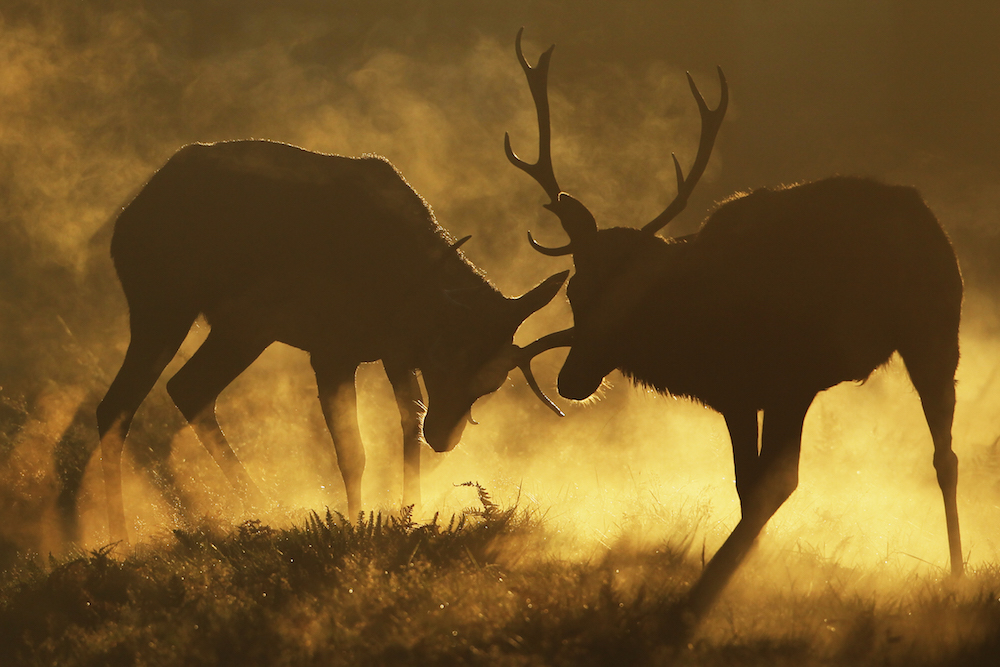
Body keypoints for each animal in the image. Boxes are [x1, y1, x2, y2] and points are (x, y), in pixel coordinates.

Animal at [101, 140, 576, 544]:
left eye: (493, 382)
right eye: (444, 355)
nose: (444, 436)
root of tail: (124, 220)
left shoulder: (394, 353)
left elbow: (408, 430)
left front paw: (410, 515)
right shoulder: (331, 349)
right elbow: (353, 452)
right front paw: (354, 524)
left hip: (241, 326)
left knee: (182, 389)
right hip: (166, 304)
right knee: (123, 403)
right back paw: (128, 533)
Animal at [512, 27, 964, 632]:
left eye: (635, 298)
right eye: (574, 293)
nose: (571, 379)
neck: (707, 330)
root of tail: (927, 215)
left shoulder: (792, 382)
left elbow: (776, 485)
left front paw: (692, 605)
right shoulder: (737, 395)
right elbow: (747, 488)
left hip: (935, 331)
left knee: (946, 456)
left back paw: (959, 574)